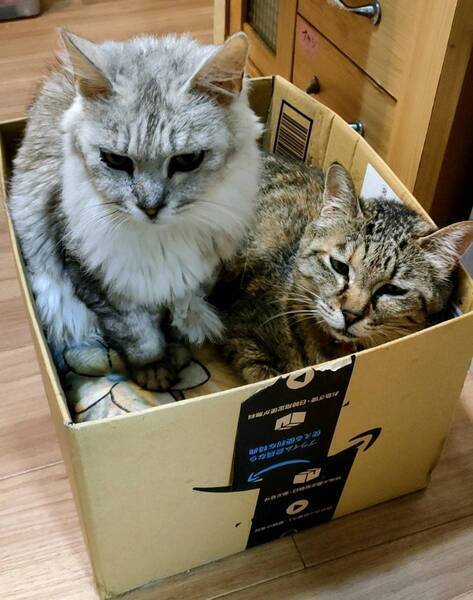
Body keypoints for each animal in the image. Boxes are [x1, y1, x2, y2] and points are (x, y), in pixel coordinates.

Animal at [9, 30, 262, 390]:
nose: (150, 207)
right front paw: (153, 370)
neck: (161, 240)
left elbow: (179, 318)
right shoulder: (100, 284)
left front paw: (179, 350)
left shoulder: (195, 277)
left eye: (187, 160)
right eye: (115, 161)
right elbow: (140, 336)